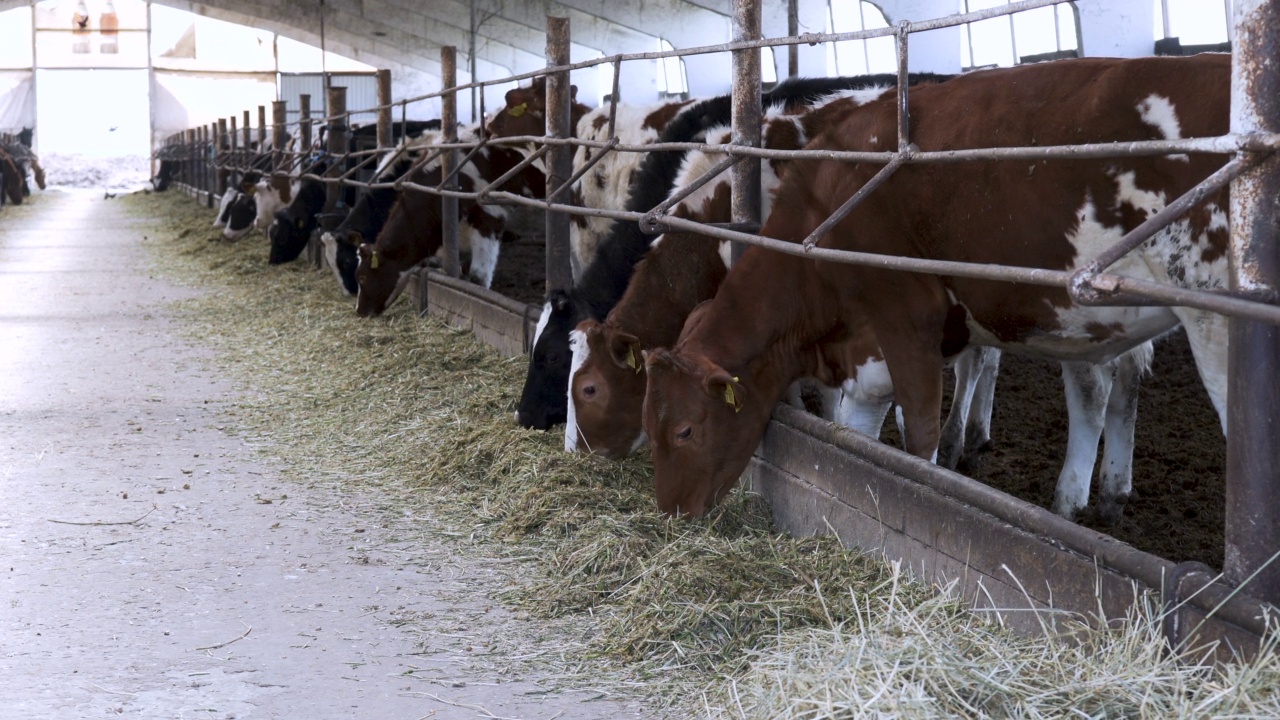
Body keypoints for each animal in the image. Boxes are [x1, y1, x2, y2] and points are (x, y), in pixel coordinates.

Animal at [640, 54, 1228, 515]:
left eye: (684, 431)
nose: (671, 512)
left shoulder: (909, 326)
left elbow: (917, 446)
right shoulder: (867, 360)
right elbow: (859, 441)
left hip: (1210, 325)